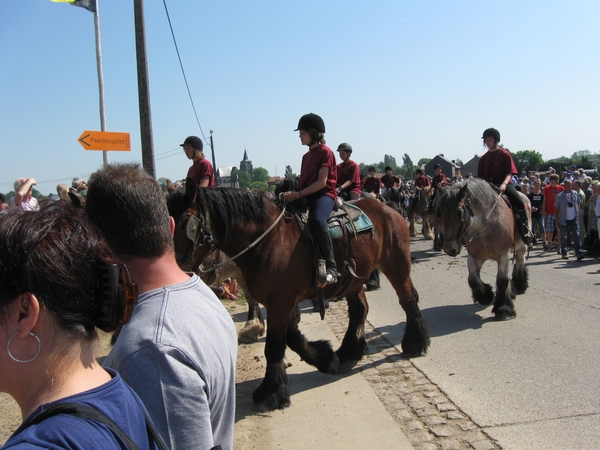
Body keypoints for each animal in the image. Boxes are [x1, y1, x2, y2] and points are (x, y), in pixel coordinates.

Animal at [166, 180, 428, 412]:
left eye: (185, 223)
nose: (175, 267)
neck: (268, 240)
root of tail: (389, 208)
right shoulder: (282, 302)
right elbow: (291, 337)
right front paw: (324, 357)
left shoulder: (280, 302)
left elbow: (274, 345)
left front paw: (271, 393)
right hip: (353, 281)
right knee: (359, 309)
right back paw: (348, 352)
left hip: (396, 265)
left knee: (408, 300)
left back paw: (415, 343)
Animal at [432, 179, 528, 320]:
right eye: (439, 213)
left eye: (458, 212)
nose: (449, 249)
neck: (486, 226)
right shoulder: (474, 256)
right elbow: (473, 280)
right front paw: (486, 296)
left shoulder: (503, 255)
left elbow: (502, 281)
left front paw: (503, 309)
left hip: (521, 246)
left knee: (520, 262)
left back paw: (520, 285)